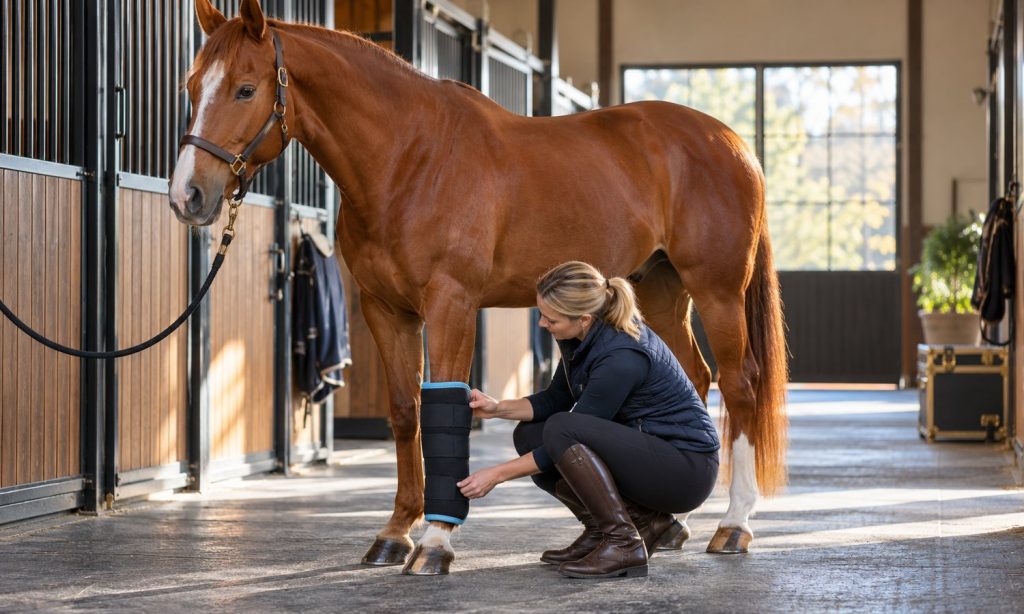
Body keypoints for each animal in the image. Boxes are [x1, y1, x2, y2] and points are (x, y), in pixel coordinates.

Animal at [169, 0, 788, 575]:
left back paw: (733, 526)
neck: (409, 157)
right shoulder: (386, 309)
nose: (187, 196)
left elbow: (445, 405)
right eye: (193, 86)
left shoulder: (452, 304)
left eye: (246, 89)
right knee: (696, 376)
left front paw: (436, 542)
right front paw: (394, 534)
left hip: (717, 292)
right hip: (660, 290)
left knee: (740, 384)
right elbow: (405, 412)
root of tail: (733, 142)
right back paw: (671, 523)